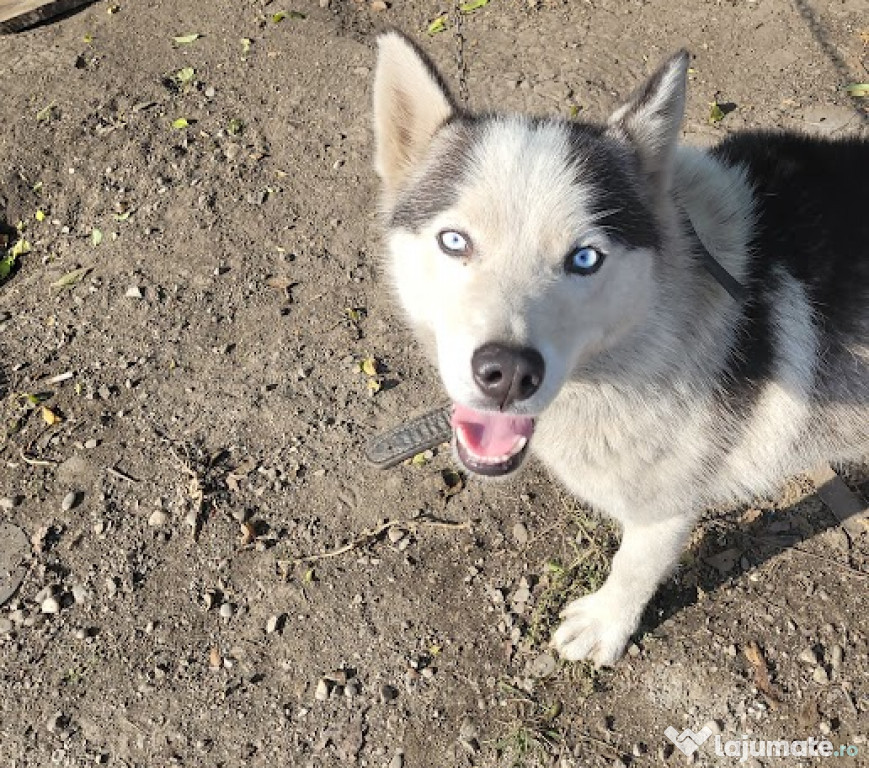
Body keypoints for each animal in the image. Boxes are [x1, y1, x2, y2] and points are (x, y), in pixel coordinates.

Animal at [370, 31, 864, 664]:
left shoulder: (667, 504)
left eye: (585, 258)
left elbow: (635, 565)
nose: (507, 372)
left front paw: (607, 625)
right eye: (455, 242)